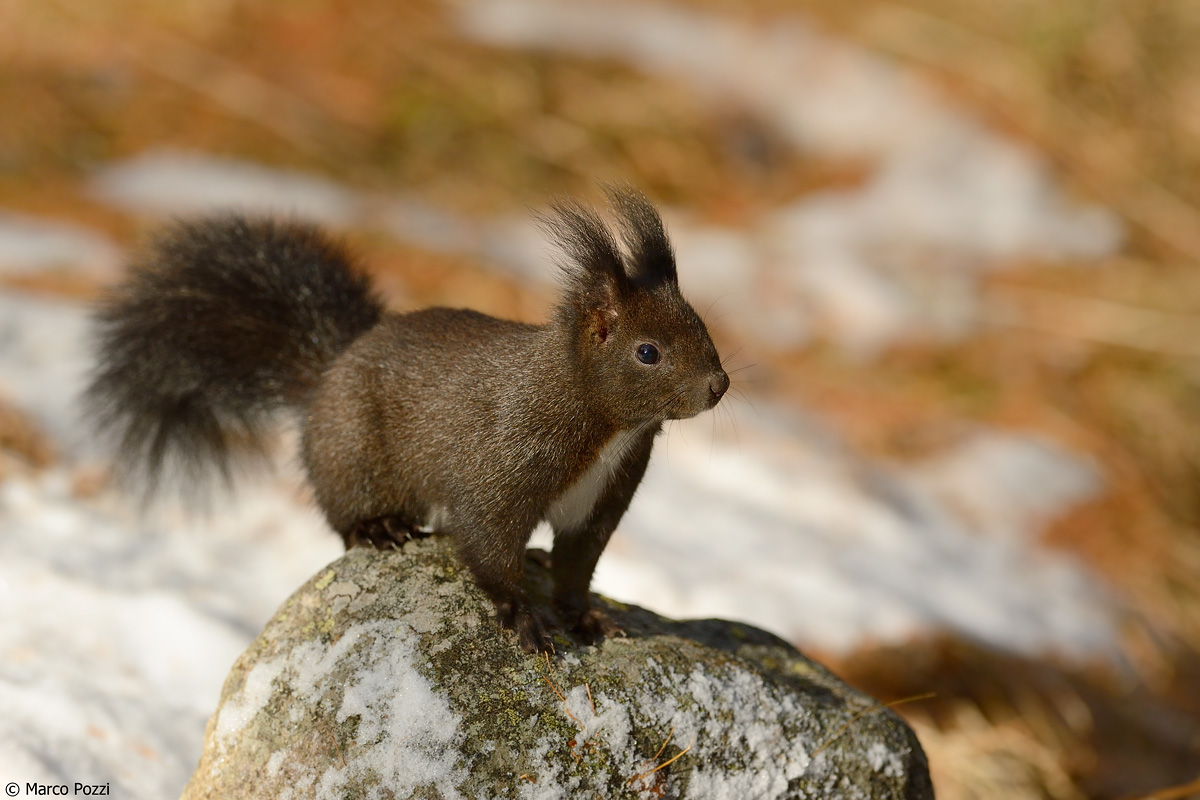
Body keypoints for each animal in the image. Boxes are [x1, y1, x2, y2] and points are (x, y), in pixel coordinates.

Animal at [85, 187, 728, 652]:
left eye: (700, 325)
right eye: (647, 351)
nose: (719, 386)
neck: (608, 427)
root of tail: (332, 369)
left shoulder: (601, 500)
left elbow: (578, 565)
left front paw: (587, 618)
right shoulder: (504, 467)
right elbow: (489, 546)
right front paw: (524, 617)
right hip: (351, 454)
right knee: (343, 517)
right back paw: (379, 529)